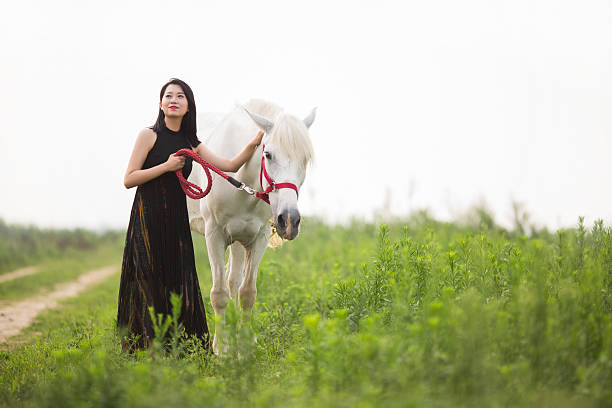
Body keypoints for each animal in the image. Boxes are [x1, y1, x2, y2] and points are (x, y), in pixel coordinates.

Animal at [188, 99, 316, 354]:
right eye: (268, 154)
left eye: (305, 159)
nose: (289, 220)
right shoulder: (214, 235)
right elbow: (218, 293)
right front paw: (222, 350)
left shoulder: (259, 238)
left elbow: (247, 292)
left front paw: (245, 348)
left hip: (239, 240)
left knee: (234, 281)